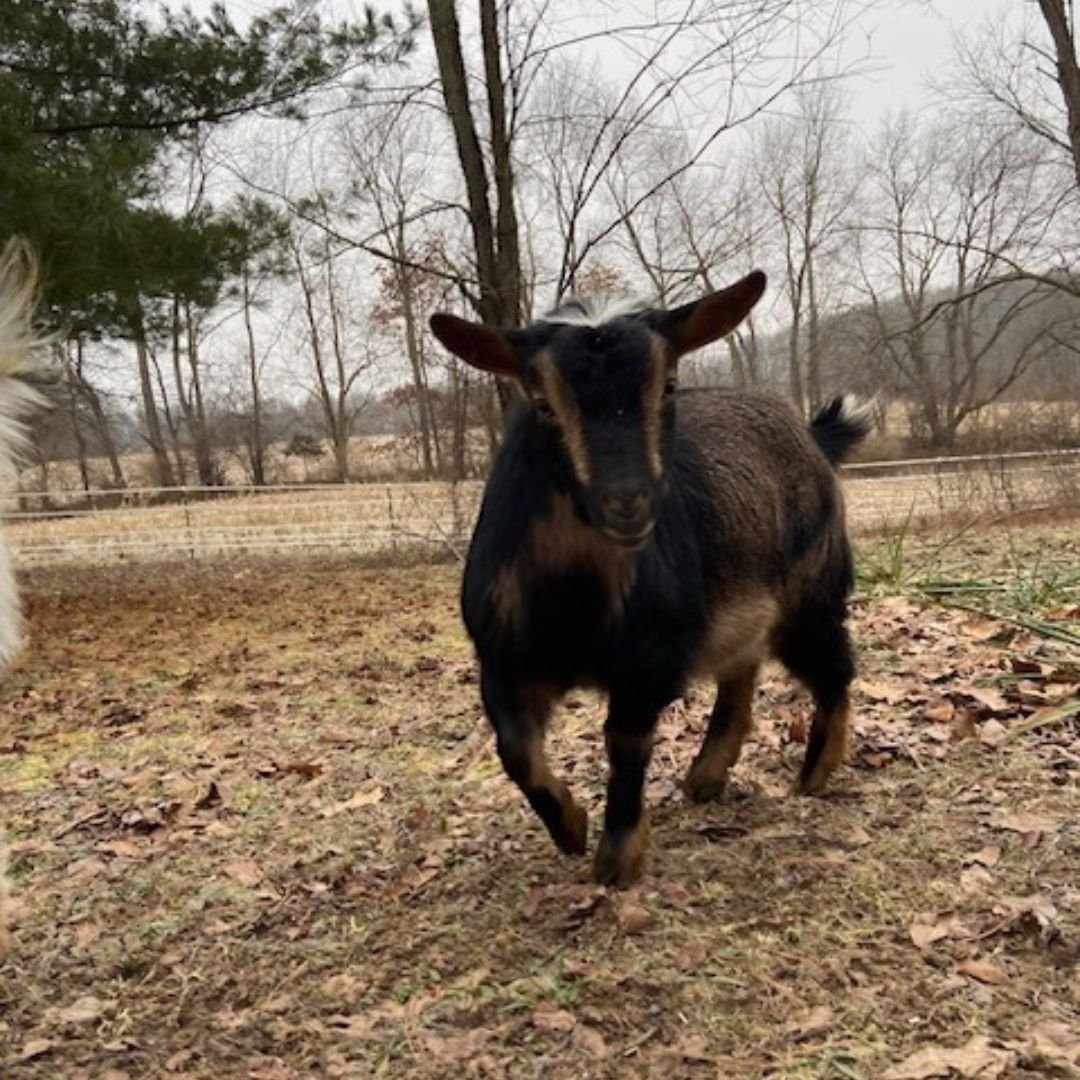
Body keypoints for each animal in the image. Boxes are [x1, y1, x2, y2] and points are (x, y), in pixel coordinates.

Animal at [430, 272, 871, 887]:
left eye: (668, 387)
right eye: (541, 401)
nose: (627, 504)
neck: (572, 605)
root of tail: (813, 435)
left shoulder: (649, 657)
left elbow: (625, 742)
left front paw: (618, 856)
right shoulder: (502, 657)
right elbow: (515, 751)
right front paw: (570, 828)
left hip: (812, 589)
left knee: (832, 668)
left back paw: (813, 775)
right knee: (742, 669)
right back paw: (706, 777)